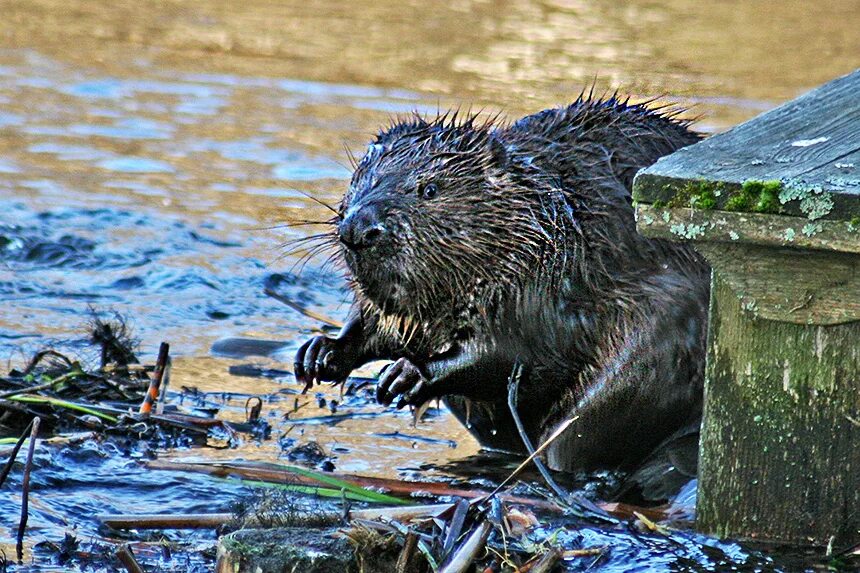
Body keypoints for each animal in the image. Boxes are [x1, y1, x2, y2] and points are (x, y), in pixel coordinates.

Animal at [292, 95, 708, 478]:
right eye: (363, 180)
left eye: (429, 189)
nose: (359, 229)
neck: (542, 216)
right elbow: (373, 322)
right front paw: (319, 353)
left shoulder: (544, 282)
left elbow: (513, 355)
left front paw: (404, 376)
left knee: (573, 439)